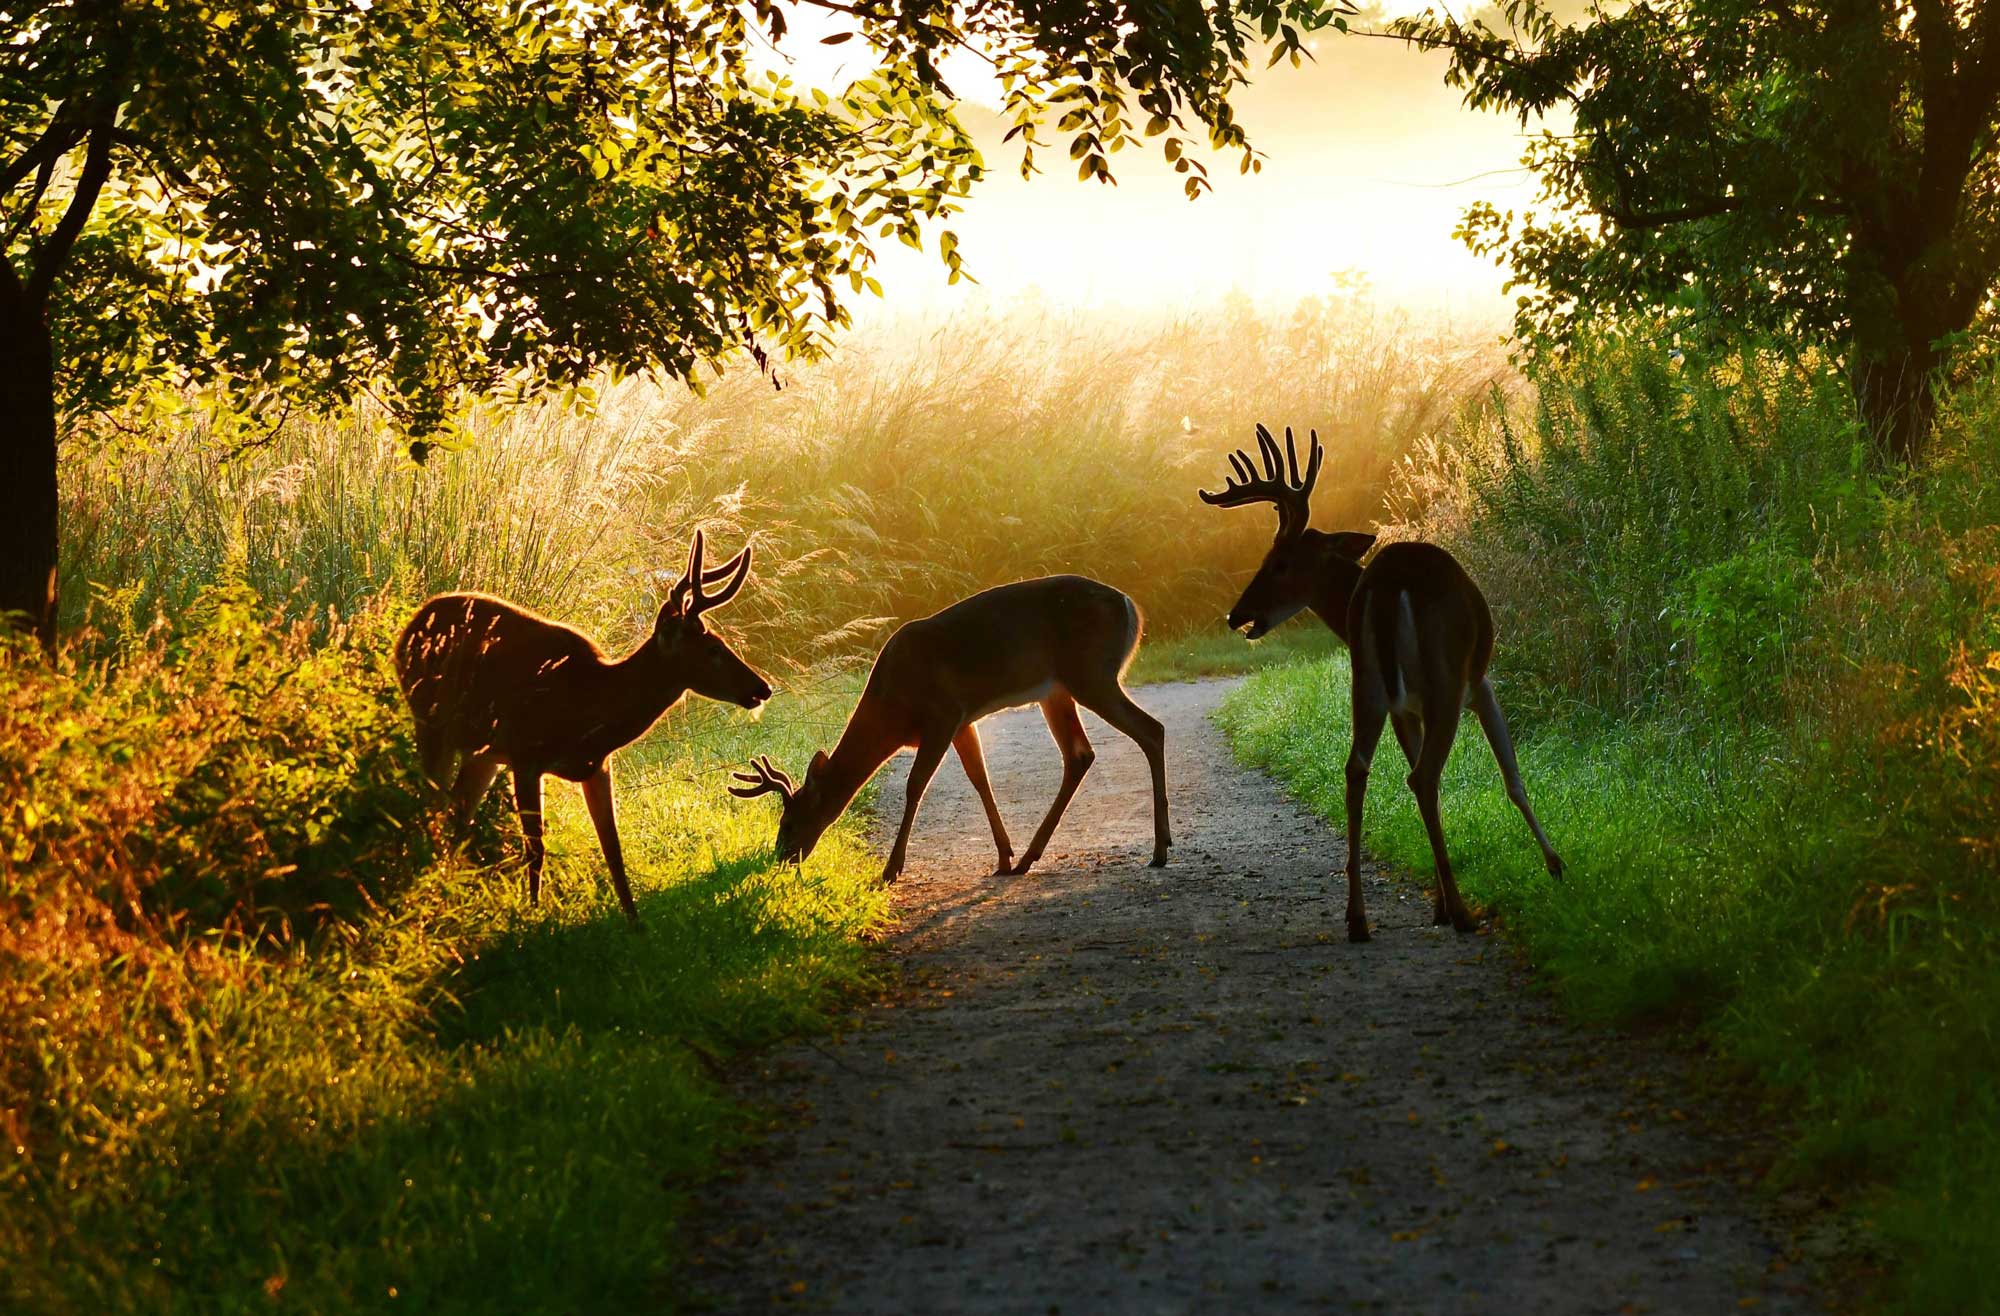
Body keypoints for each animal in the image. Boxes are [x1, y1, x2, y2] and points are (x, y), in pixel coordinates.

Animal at [394, 530, 772, 924]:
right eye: (713, 649)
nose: (762, 688)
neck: (589, 707)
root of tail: (413, 624)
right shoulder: (525, 754)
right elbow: (536, 847)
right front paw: (532, 914)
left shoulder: (597, 766)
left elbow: (614, 849)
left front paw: (635, 924)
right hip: (431, 721)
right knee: (431, 804)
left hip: (483, 753)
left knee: (457, 812)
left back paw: (445, 890)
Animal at [727, 575, 1171, 884]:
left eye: (789, 822)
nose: (782, 857)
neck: (892, 711)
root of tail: (1131, 607)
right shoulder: (962, 721)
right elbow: (979, 779)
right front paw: (1004, 856)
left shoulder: (941, 715)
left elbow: (916, 785)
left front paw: (891, 869)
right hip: (1057, 690)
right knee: (1080, 754)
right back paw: (1030, 858)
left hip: (1090, 673)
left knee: (1151, 730)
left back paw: (1160, 848)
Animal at [1200, 424, 1563, 943]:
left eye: (1279, 562)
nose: (1236, 615)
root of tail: (1387, 586)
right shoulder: (1479, 684)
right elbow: (1512, 777)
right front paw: (1554, 865)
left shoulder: (1404, 708)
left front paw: (1437, 903)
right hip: (1445, 679)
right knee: (1423, 776)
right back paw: (1462, 914)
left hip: (1368, 683)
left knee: (1359, 770)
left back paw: (1359, 917)